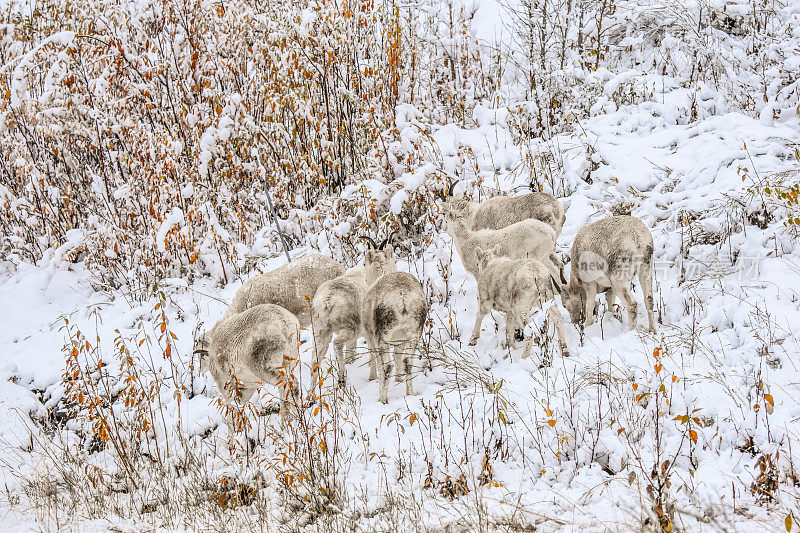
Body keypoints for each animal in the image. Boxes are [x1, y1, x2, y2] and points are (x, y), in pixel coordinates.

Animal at [195, 302, 302, 430]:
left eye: (201, 356)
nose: (200, 371)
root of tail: (284, 323)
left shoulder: (226, 385)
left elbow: (231, 412)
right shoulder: (249, 386)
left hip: (266, 368)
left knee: (291, 385)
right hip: (288, 364)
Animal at [314, 243, 398, 384]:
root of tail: (328, 300)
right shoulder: (369, 334)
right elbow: (373, 353)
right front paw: (372, 377)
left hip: (321, 332)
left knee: (315, 361)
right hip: (350, 329)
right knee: (337, 344)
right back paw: (342, 378)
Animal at [360, 270, 428, 404]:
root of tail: (402, 298)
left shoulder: (372, 339)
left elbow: (379, 365)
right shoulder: (400, 341)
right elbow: (397, 357)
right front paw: (398, 379)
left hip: (382, 336)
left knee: (387, 366)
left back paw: (383, 399)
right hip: (415, 334)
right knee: (407, 361)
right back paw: (410, 393)